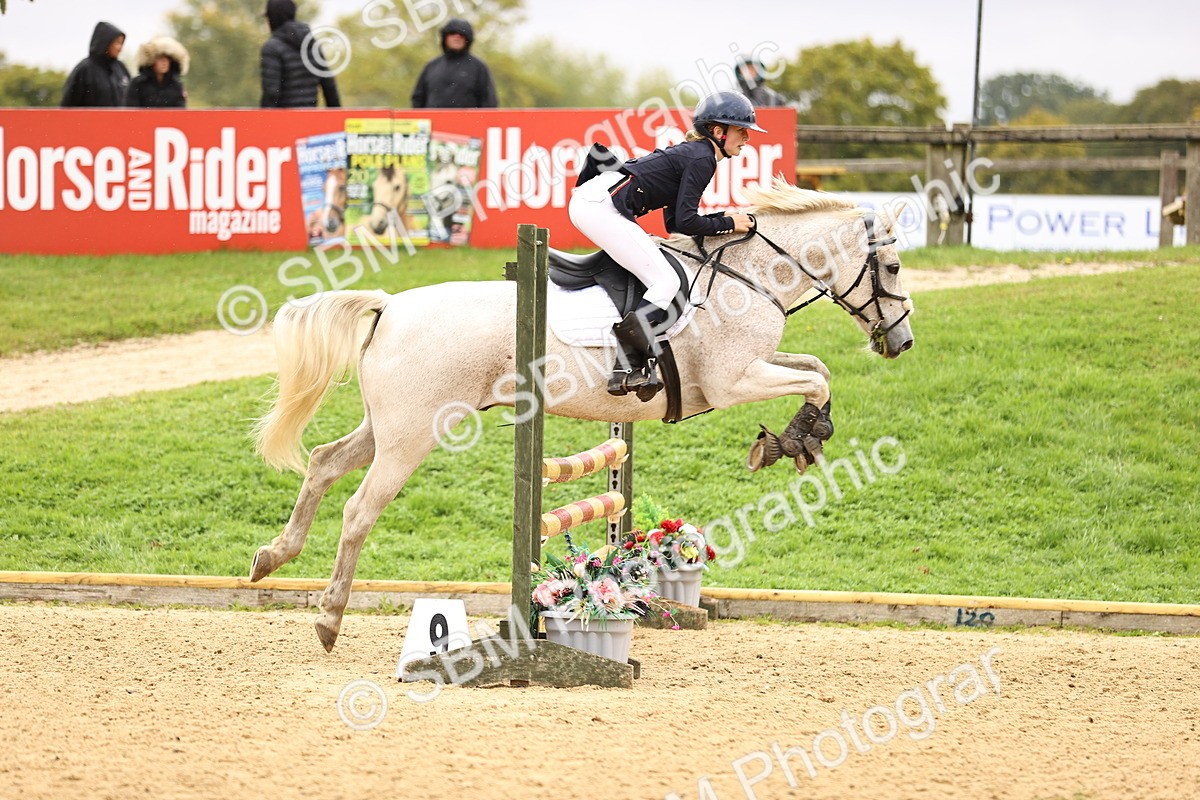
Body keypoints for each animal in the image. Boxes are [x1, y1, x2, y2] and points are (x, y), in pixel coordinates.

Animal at [249, 178, 915, 651]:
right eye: (892, 268)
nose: (902, 343)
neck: (748, 275)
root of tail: (390, 305)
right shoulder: (733, 382)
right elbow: (815, 378)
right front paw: (800, 439)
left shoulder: (754, 366)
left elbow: (815, 368)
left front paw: (796, 438)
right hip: (412, 436)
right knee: (360, 509)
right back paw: (329, 618)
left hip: (388, 427)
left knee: (323, 461)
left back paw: (272, 558)